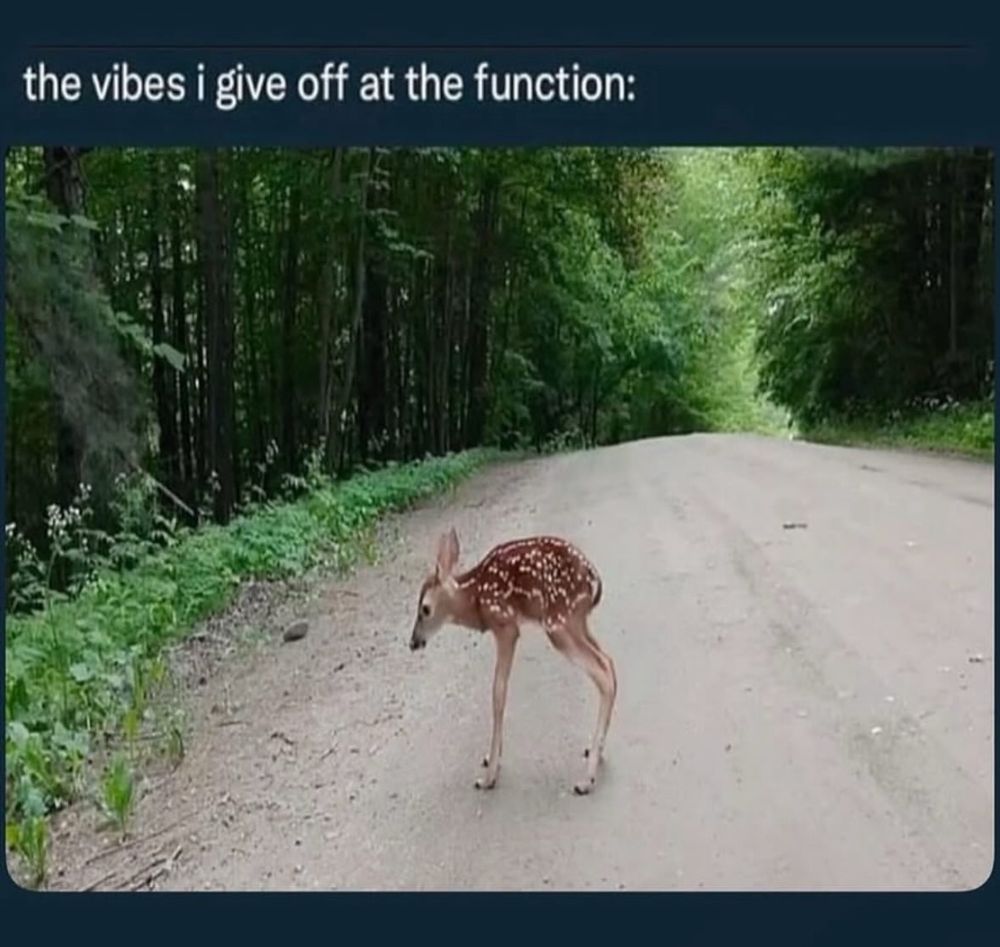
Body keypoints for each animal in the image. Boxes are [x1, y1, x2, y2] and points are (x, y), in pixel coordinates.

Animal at [409, 528, 617, 795]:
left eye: (425, 609)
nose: (413, 642)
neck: (475, 598)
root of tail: (594, 582)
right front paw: (491, 758)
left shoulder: (505, 625)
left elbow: (498, 692)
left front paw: (489, 776)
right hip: (577, 621)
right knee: (608, 662)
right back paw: (596, 753)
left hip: (559, 621)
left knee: (602, 671)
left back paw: (586, 779)